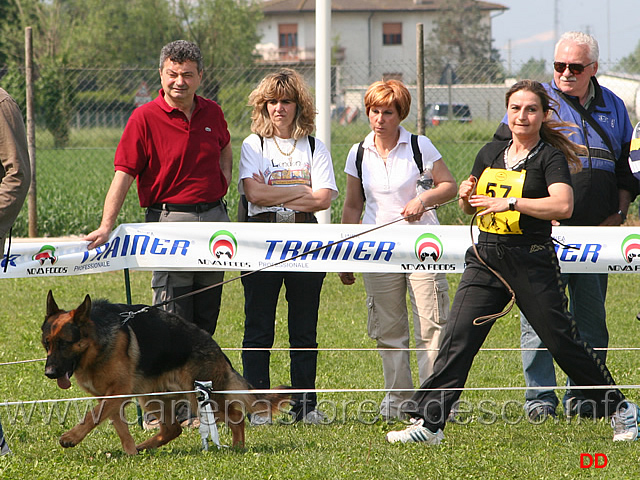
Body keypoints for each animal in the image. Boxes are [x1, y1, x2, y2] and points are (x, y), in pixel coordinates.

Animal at [41, 290, 288, 456]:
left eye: (64, 343)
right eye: (47, 343)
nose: (49, 372)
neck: (96, 343)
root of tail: (218, 350)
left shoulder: (117, 392)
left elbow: (92, 416)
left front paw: (70, 438)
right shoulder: (109, 397)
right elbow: (116, 424)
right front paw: (130, 452)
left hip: (198, 399)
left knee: (236, 416)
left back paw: (238, 447)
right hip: (152, 398)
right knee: (173, 429)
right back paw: (143, 447)